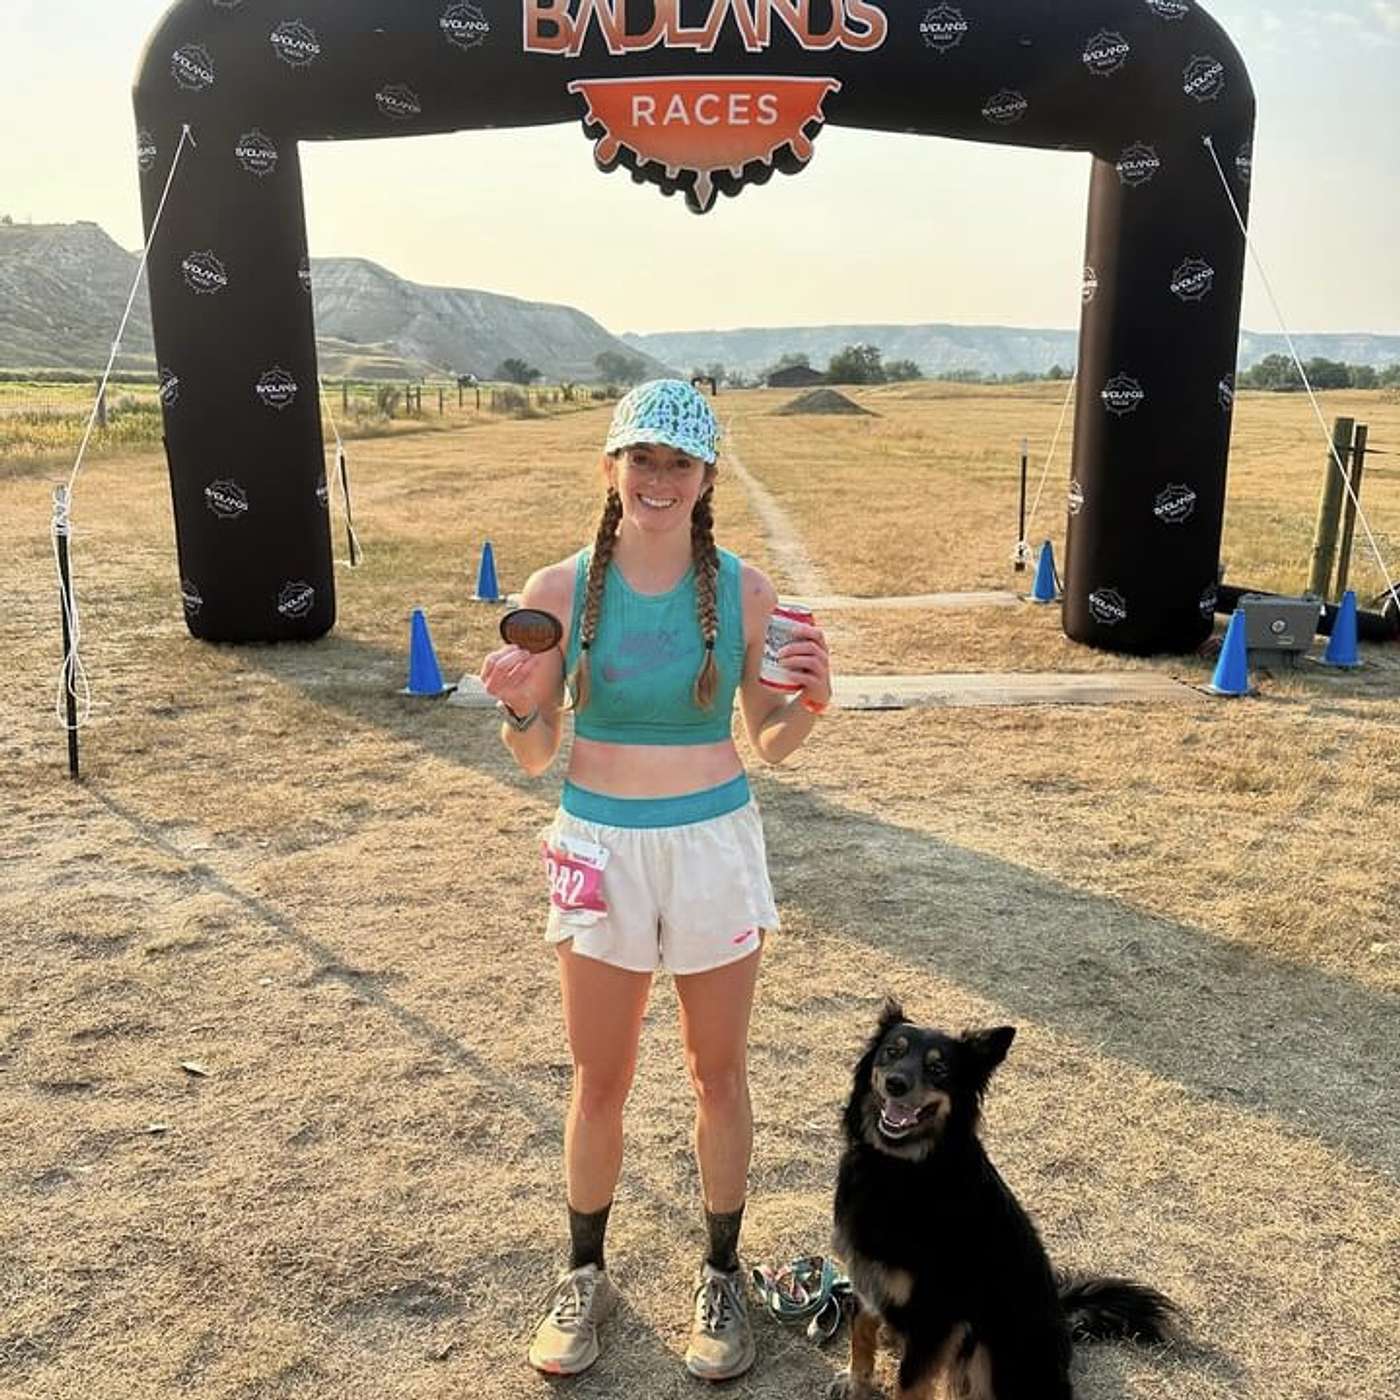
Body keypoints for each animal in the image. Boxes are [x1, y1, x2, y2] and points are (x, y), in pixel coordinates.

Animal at [830, 1001, 1177, 1400]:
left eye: (938, 1069)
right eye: (892, 1052)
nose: (896, 1084)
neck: (898, 1168)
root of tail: (1063, 1319)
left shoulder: (936, 1317)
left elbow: (910, 1385)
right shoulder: (865, 1274)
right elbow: (861, 1332)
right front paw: (856, 1382)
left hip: (986, 1349)